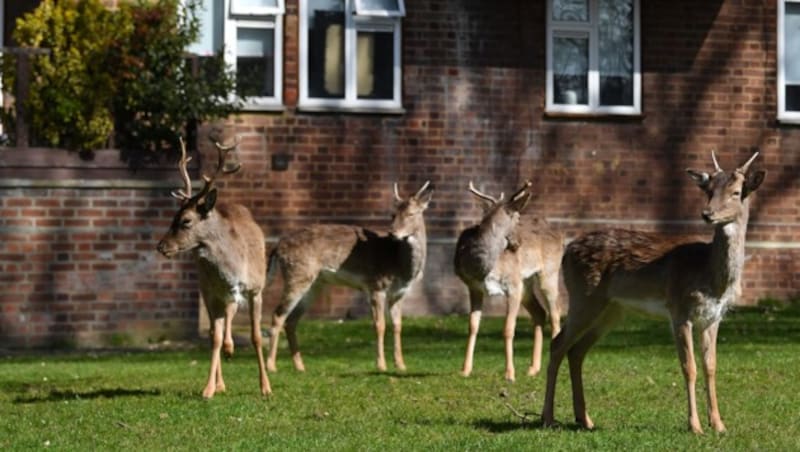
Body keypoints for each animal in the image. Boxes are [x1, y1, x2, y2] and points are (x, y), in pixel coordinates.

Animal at [156, 137, 272, 400]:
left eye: (186, 221)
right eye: (172, 217)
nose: (161, 246)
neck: (234, 269)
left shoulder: (256, 289)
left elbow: (257, 337)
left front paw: (266, 387)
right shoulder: (210, 292)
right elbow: (214, 337)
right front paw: (209, 388)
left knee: (231, 314)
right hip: (207, 289)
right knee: (215, 328)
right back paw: (224, 366)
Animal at [268, 182, 432, 372]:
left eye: (411, 213)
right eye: (392, 214)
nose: (392, 233)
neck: (399, 263)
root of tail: (278, 246)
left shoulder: (398, 293)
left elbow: (398, 325)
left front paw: (401, 365)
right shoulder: (376, 285)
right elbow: (380, 325)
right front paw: (381, 365)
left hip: (314, 284)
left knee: (291, 320)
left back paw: (300, 367)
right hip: (297, 274)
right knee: (278, 315)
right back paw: (271, 366)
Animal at [456, 180, 564, 382]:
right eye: (517, 218)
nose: (518, 243)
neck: (482, 266)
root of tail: (560, 234)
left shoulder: (512, 285)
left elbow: (508, 328)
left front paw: (510, 374)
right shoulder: (474, 287)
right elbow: (472, 326)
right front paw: (465, 370)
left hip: (549, 272)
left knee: (555, 314)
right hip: (526, 283)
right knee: (540, 313)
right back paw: (533, 368)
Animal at [540, 150, 764, 432]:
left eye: (736, 192)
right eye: (708, 190)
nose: (707, 213)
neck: (709, 275)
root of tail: (567, 251)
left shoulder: (713, 317)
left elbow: (710, 367)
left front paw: (719, 425)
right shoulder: (679, 309)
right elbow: (689, 366)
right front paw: (695, 426)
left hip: (612, 310)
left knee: (577, 350)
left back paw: (585, 419)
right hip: (583, 297)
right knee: (558, 343)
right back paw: (547, 418)